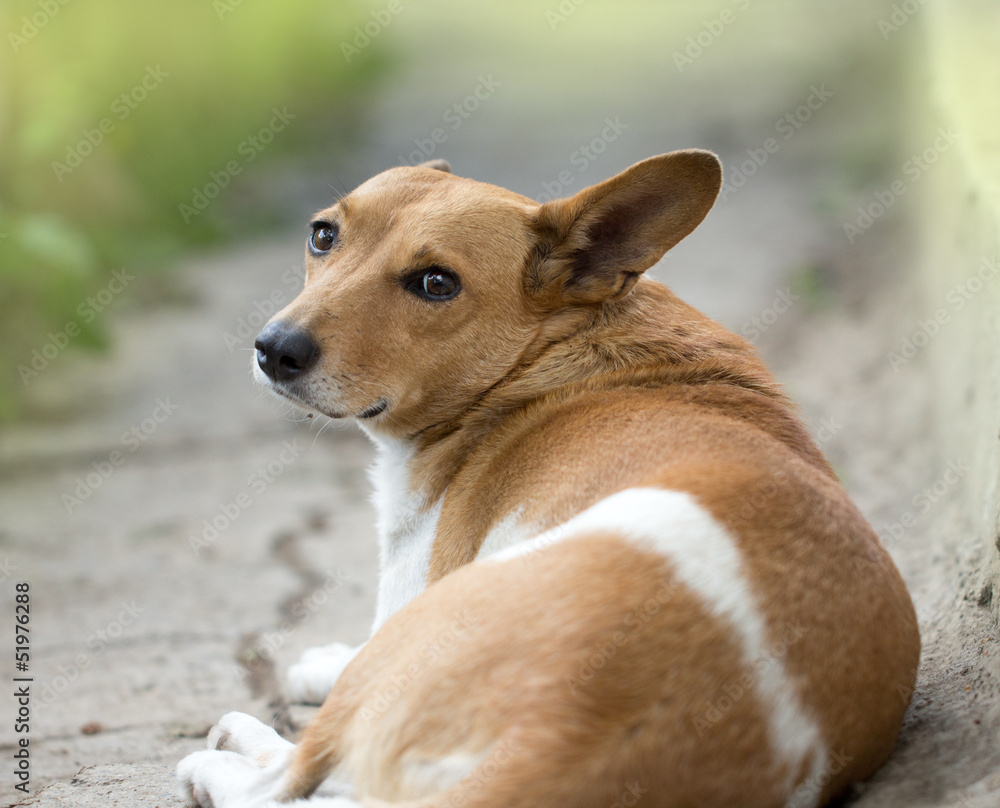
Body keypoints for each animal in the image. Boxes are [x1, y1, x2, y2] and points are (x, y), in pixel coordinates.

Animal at [178, 152, 916, 808]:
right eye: (323, 235)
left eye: (436, 284)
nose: (275, 349)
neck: (547, 355)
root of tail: (558, 742)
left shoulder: (407, 601)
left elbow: (353, 660)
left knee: (284, 783)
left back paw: (228, 753)